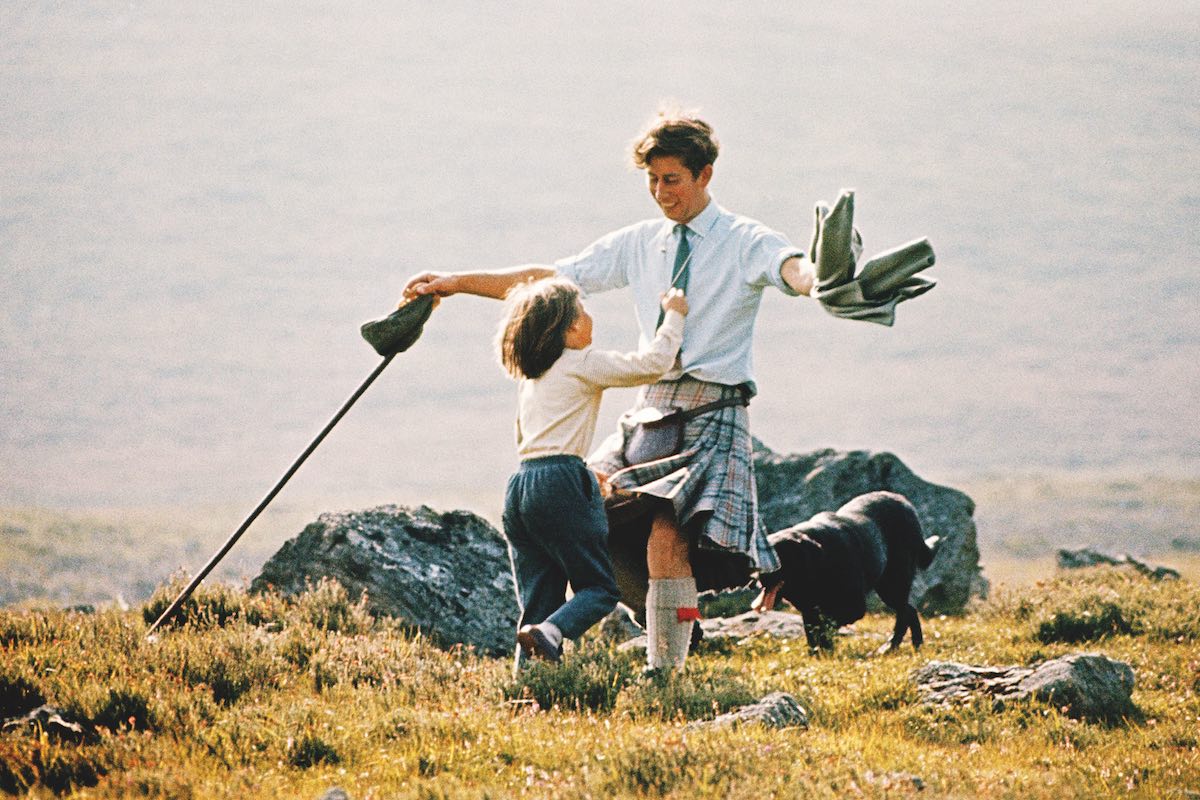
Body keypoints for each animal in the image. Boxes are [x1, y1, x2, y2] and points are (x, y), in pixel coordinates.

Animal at [748, 491, 936, 652]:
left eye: (778, 558)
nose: (757, 576)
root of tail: (905, 503)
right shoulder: (809, 610)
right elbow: (813, 633)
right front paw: (820, 654)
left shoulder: (853, 608)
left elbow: (825, 626)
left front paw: (825, 648)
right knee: (910, 610)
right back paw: (915, 643)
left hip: (893, 583)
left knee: (904, 612)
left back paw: (890, 647)